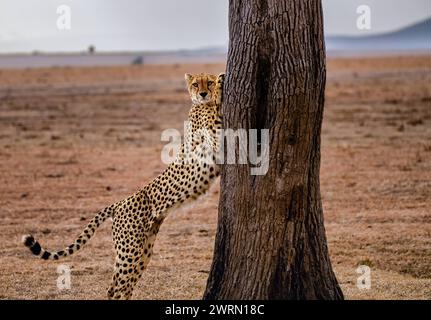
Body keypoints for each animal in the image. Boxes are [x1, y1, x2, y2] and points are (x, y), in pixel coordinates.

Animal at [22, 71, 226, 298]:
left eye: (207, 82)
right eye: (195, 84)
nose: (203, 93)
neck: (198, 105)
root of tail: (119, 203)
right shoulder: (215, 137)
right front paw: (221, 83)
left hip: (143, 250)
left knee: (123, 285)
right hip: (129, 251)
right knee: (115, 287)